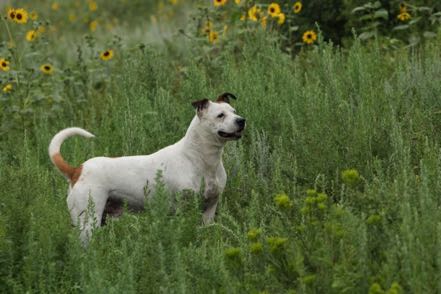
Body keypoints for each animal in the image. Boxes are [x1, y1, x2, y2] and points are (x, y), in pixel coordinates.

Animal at [50, 93, 248, 243]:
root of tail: (76, 170)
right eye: (220, 115)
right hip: (88, 222)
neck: (199, 159)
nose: (241, 120)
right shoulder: (184, 209)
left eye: (234, 112)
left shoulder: (210, 208)